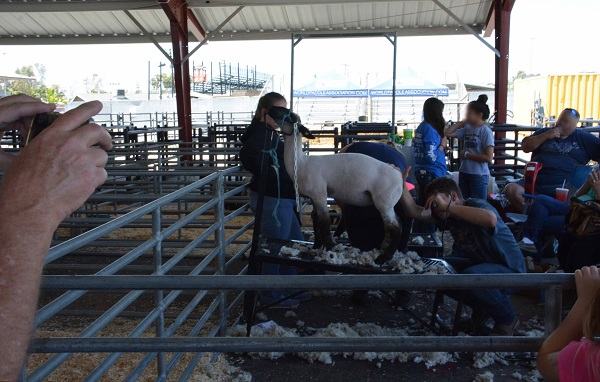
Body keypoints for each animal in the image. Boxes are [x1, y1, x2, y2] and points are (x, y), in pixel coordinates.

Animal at [268, 106, 404, 264]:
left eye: (290, 115)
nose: (271, 108)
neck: (301, 163)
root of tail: (399, 176)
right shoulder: (313, 197)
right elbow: (315, 218)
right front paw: (316, 245)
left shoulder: (320, 194)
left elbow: (324, 220)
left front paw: (329, 248)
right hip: (388, 203)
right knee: (397, 223)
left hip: (384, 202)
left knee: (394, 227)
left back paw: (382, 258)